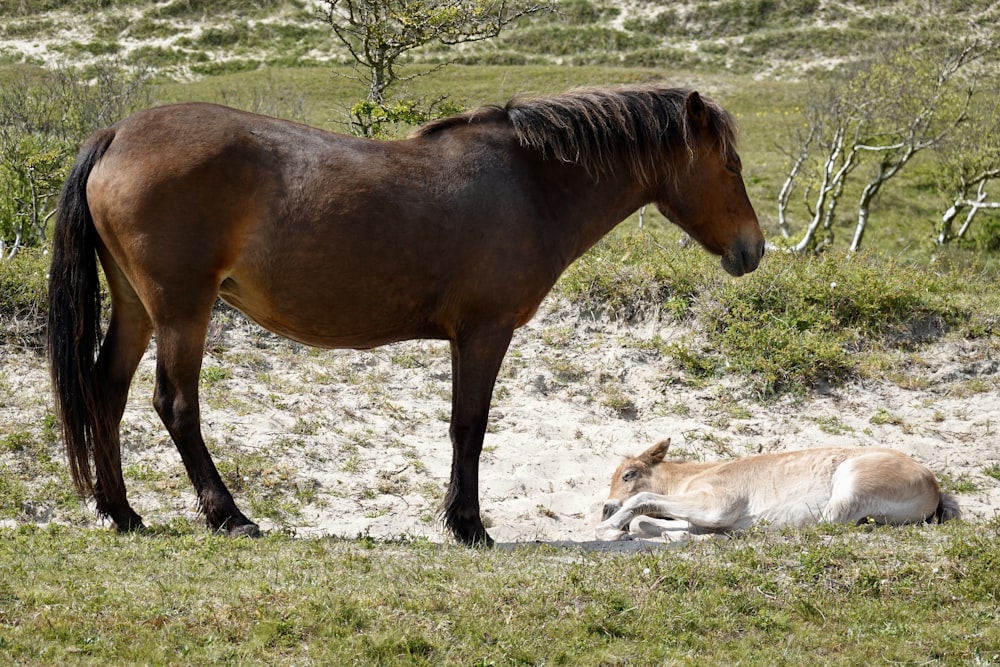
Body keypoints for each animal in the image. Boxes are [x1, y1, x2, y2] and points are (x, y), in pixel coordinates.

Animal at [48, 83, 764, 544]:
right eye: (730, 164)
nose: (752, 250)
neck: (530, 184)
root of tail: (118, 134)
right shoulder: (483, 333)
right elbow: (469, 427)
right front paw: (468, 525)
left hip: (137, 307)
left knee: (106, 393)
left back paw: (121, 512)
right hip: (181, 311)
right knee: (175, 405)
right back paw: (228, 516)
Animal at [596, 438, 956, 544]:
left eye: (628, 474)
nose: (606, 507)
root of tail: (932, 485)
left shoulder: (717, 503)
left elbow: (643, 500)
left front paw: (608, 529)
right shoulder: (704, 514)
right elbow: (648, 522)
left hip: (850, 483)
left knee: (824, 524)